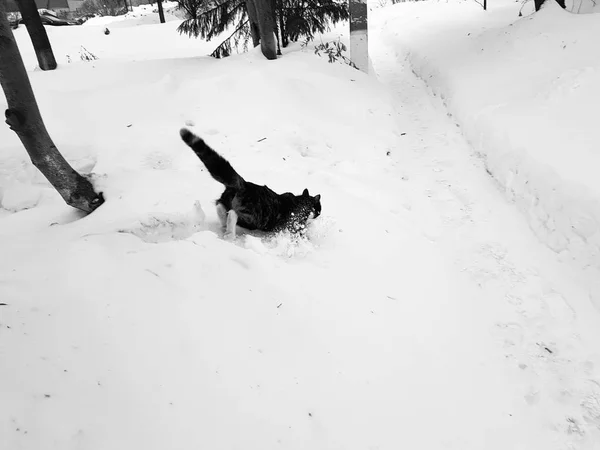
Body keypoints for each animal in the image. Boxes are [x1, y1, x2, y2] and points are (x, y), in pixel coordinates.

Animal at [178, 128, 322, 237]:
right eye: (319, 209)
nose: (318, 215)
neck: (302, 201)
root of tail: (244, 184)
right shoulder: (294, 227)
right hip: (253, 218)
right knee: (233, 214)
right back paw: (230, 233)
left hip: (229, 204)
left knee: (220, 207)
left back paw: (225, 227)